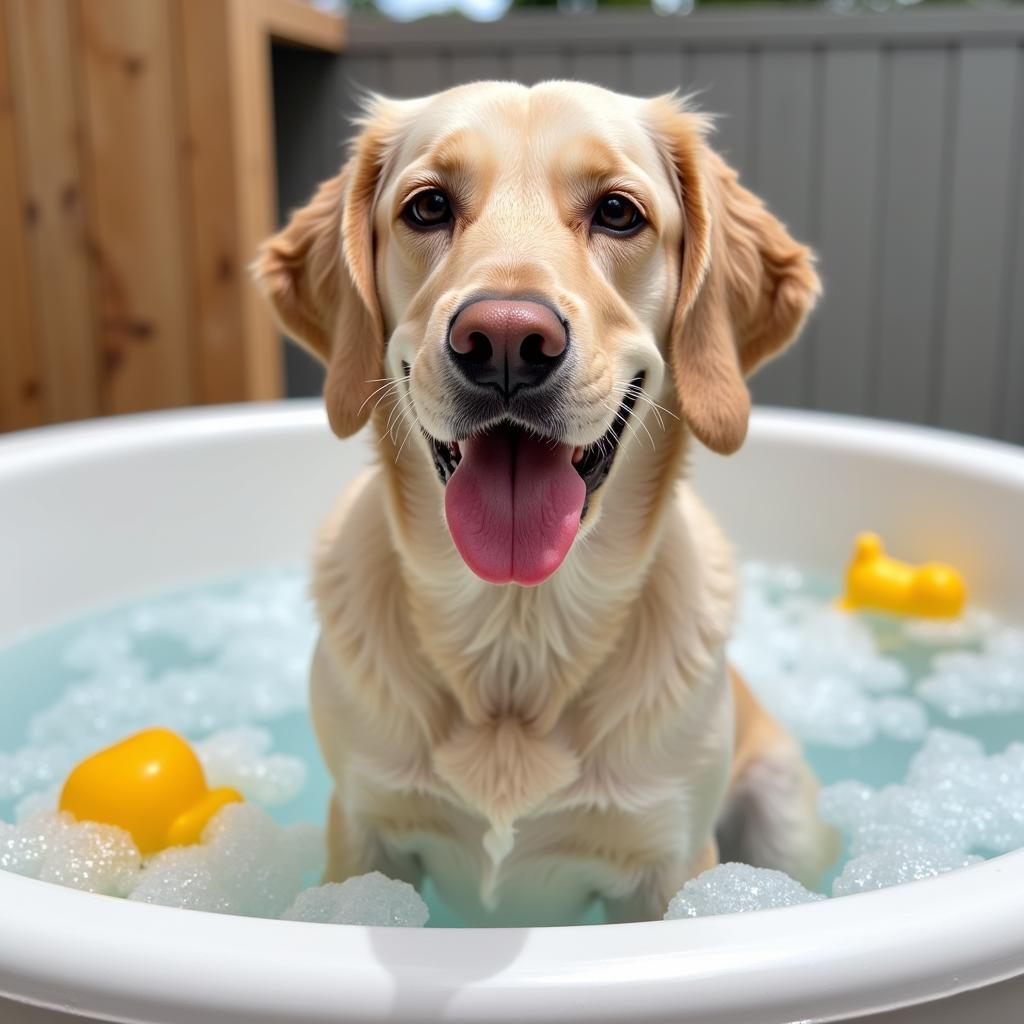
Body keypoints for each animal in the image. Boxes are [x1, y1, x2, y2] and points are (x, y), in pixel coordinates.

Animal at [256, 81, 839, 929]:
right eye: (428, 206)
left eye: (619, 212)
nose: (503, 340)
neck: (515, 633)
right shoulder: (363, 839)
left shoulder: (667, 864)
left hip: (781, 807)